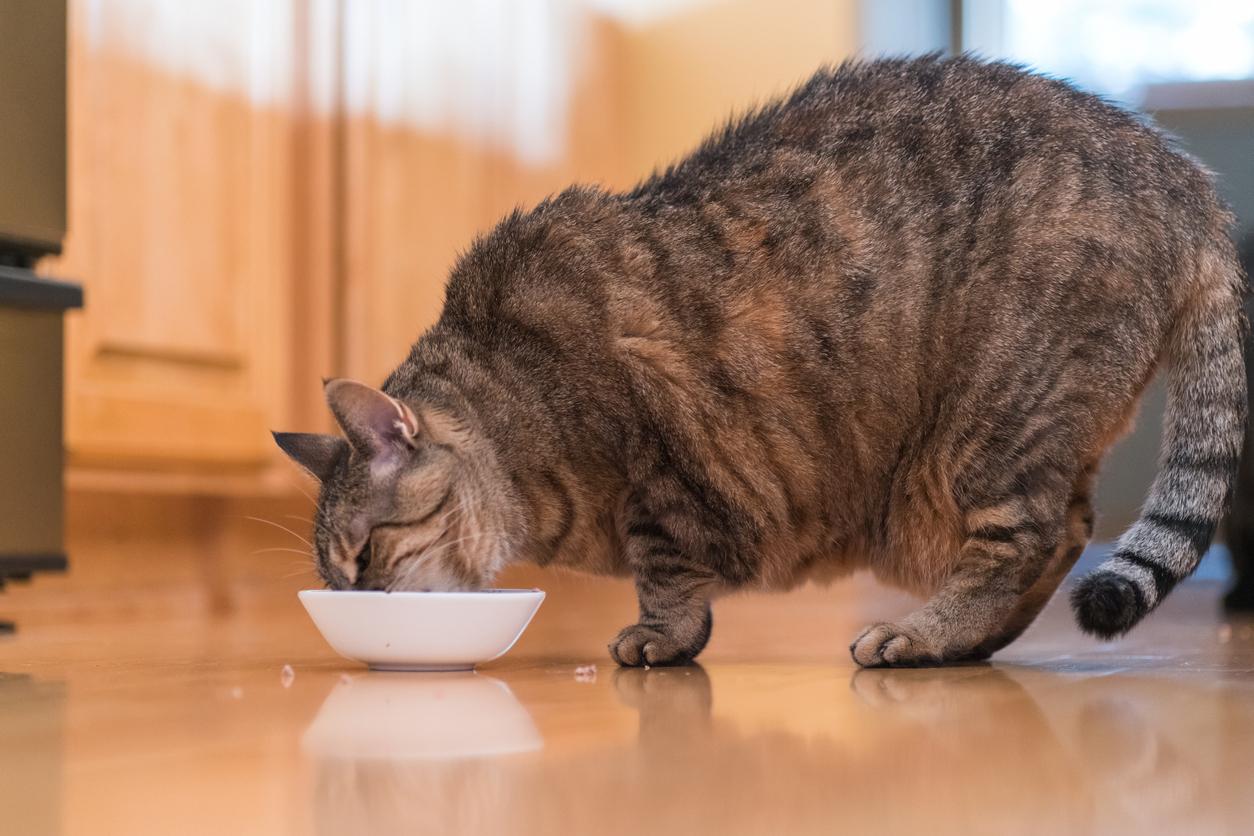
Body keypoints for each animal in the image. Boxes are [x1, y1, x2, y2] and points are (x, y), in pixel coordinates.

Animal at [272, 55, 1243, 671]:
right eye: (336, 576)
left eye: (365, 553)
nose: (361, 601)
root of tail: (1181, 176)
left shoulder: (658, 468)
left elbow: (664, 571)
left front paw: (660, 637)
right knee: (1068, 531)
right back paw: (968, 641)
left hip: (989, 425)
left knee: (1033, 538)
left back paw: (926, 635)